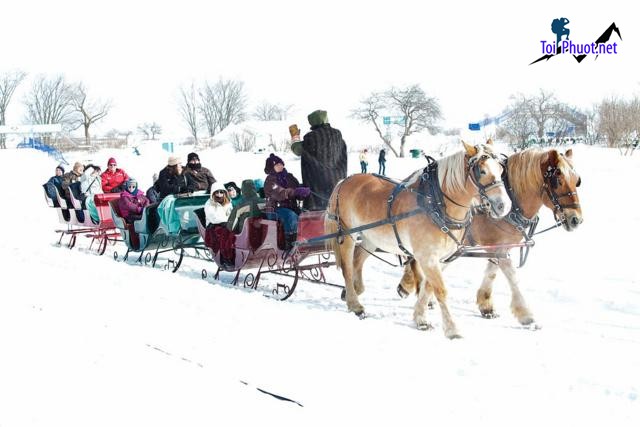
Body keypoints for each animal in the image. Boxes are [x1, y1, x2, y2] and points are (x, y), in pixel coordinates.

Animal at [324, 142, 510, 340]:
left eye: (501, 169)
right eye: (481, 171)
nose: (504, 206)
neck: (435, 204)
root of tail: (344, 181)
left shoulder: (438, 258)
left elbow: (428, 288)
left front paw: (420, 318)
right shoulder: (427, 257)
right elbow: (440, 290)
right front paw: (452, 329)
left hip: (370, 237)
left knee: (357, 260)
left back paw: (354, 290)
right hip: (347, 235)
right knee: (347, 268)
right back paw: (355, 304)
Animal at [400, 147, 584, 324]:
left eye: (577, 181)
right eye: (558, 181)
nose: (576, 219)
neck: (512, 202)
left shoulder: (498, 247)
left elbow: (492, 272)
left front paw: (486, 305)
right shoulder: (497, 246)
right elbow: (511, 275)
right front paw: (525, 314)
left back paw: (409, 287)